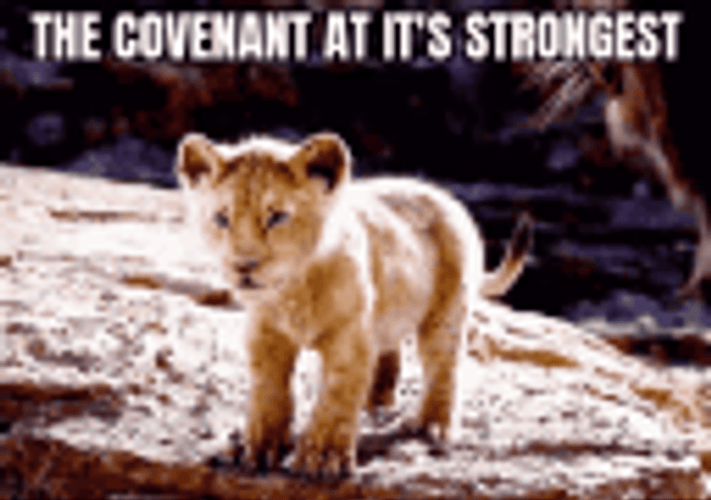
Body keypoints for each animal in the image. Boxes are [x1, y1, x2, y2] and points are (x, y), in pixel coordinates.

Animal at [175, 131, 533, 479]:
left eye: (277, 217)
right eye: (221, 218)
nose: (243, 266)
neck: (292, 290)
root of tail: (444, 195)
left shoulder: (349, 335)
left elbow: (337, 392)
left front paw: (322, 457)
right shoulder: (266, 333)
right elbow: (268, 389)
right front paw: (258, 448)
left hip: (446, 311)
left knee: (443, 365)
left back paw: (432, 425)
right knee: (388, 348)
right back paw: (377, 401)